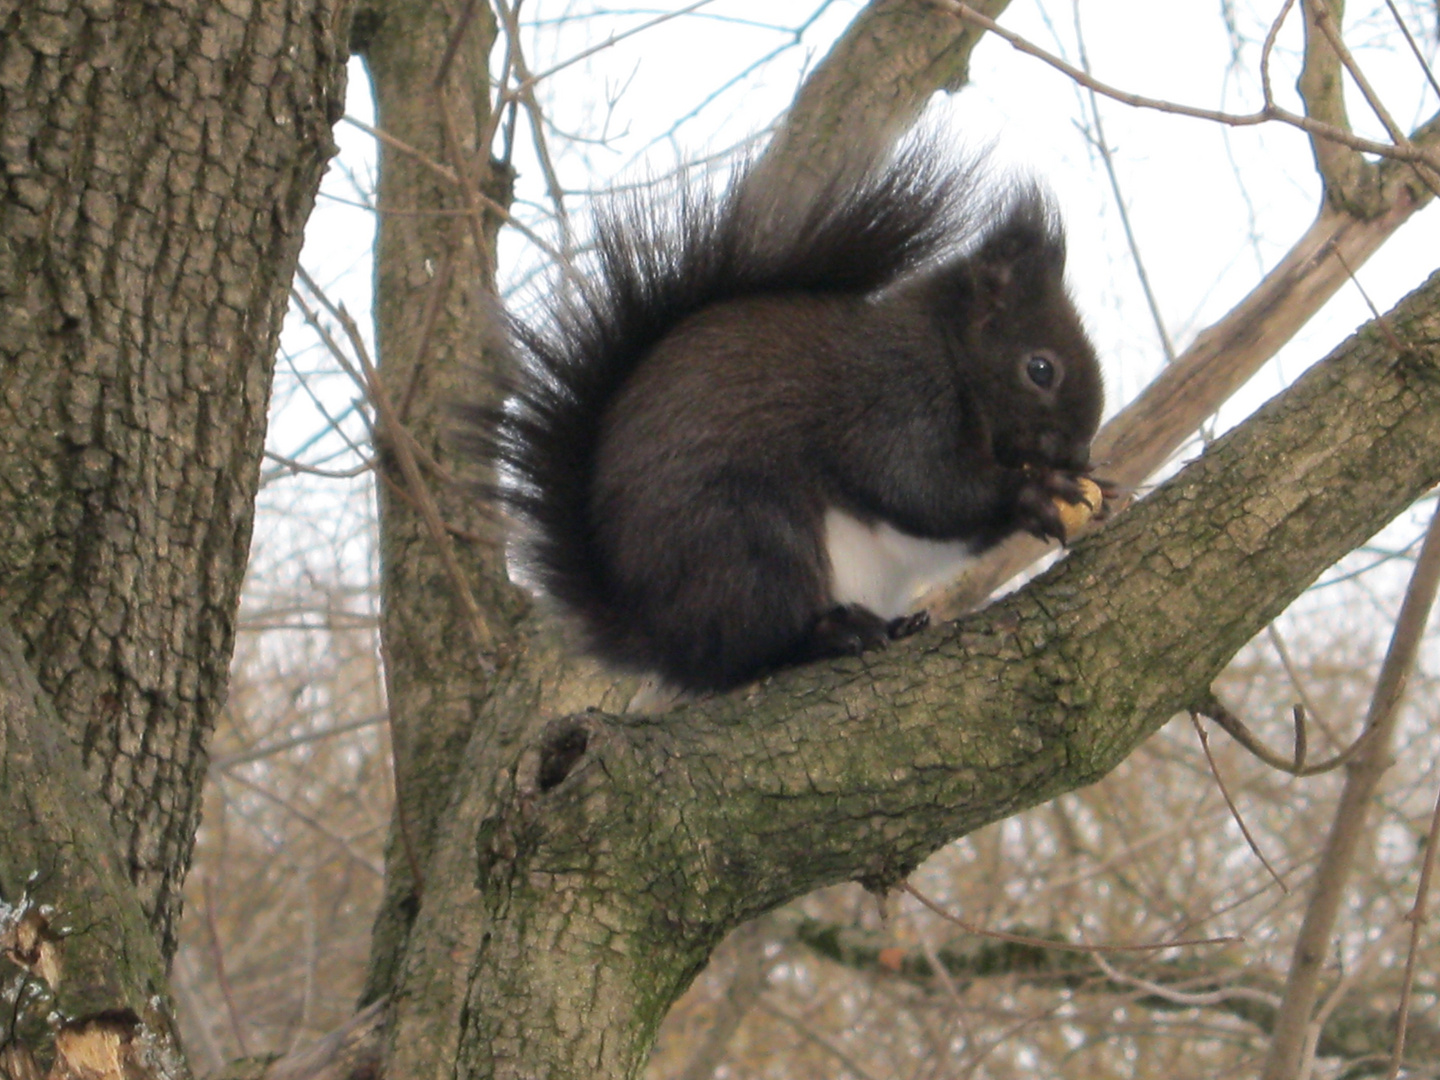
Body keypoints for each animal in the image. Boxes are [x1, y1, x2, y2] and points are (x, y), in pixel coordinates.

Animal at [478, 144, 1105, 694]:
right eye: (1041, 369)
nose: (1078, 454)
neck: (948, 350)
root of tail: (661, 639)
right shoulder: (894, 396)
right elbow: (923, 488)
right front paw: (1035, 492)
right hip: (749, 540)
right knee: (754, 651)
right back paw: (831, 635)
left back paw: (894, 625)